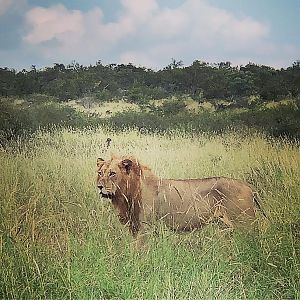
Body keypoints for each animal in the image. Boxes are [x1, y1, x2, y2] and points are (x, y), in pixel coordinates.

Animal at [96, 156, 264, 238]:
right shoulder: (136, 227)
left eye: (112, 173)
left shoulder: (145, 227)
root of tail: (249, 186)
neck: (126, 194)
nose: (99, 186)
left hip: (245, 223)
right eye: (100, 172)